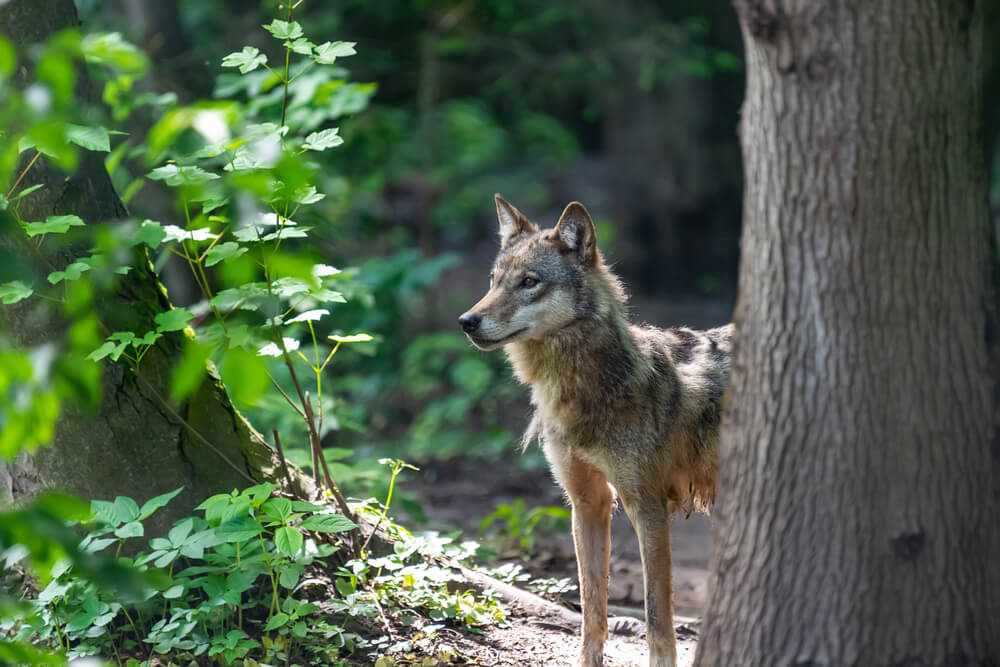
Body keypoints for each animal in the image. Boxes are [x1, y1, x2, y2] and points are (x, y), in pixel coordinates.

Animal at [458, 196, 732, 664]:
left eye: (529, 282)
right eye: (494, 281)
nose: (467, 321)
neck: (585, 388)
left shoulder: (647, 506)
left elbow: (657, 618)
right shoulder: (588, 503)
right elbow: (591, 609)